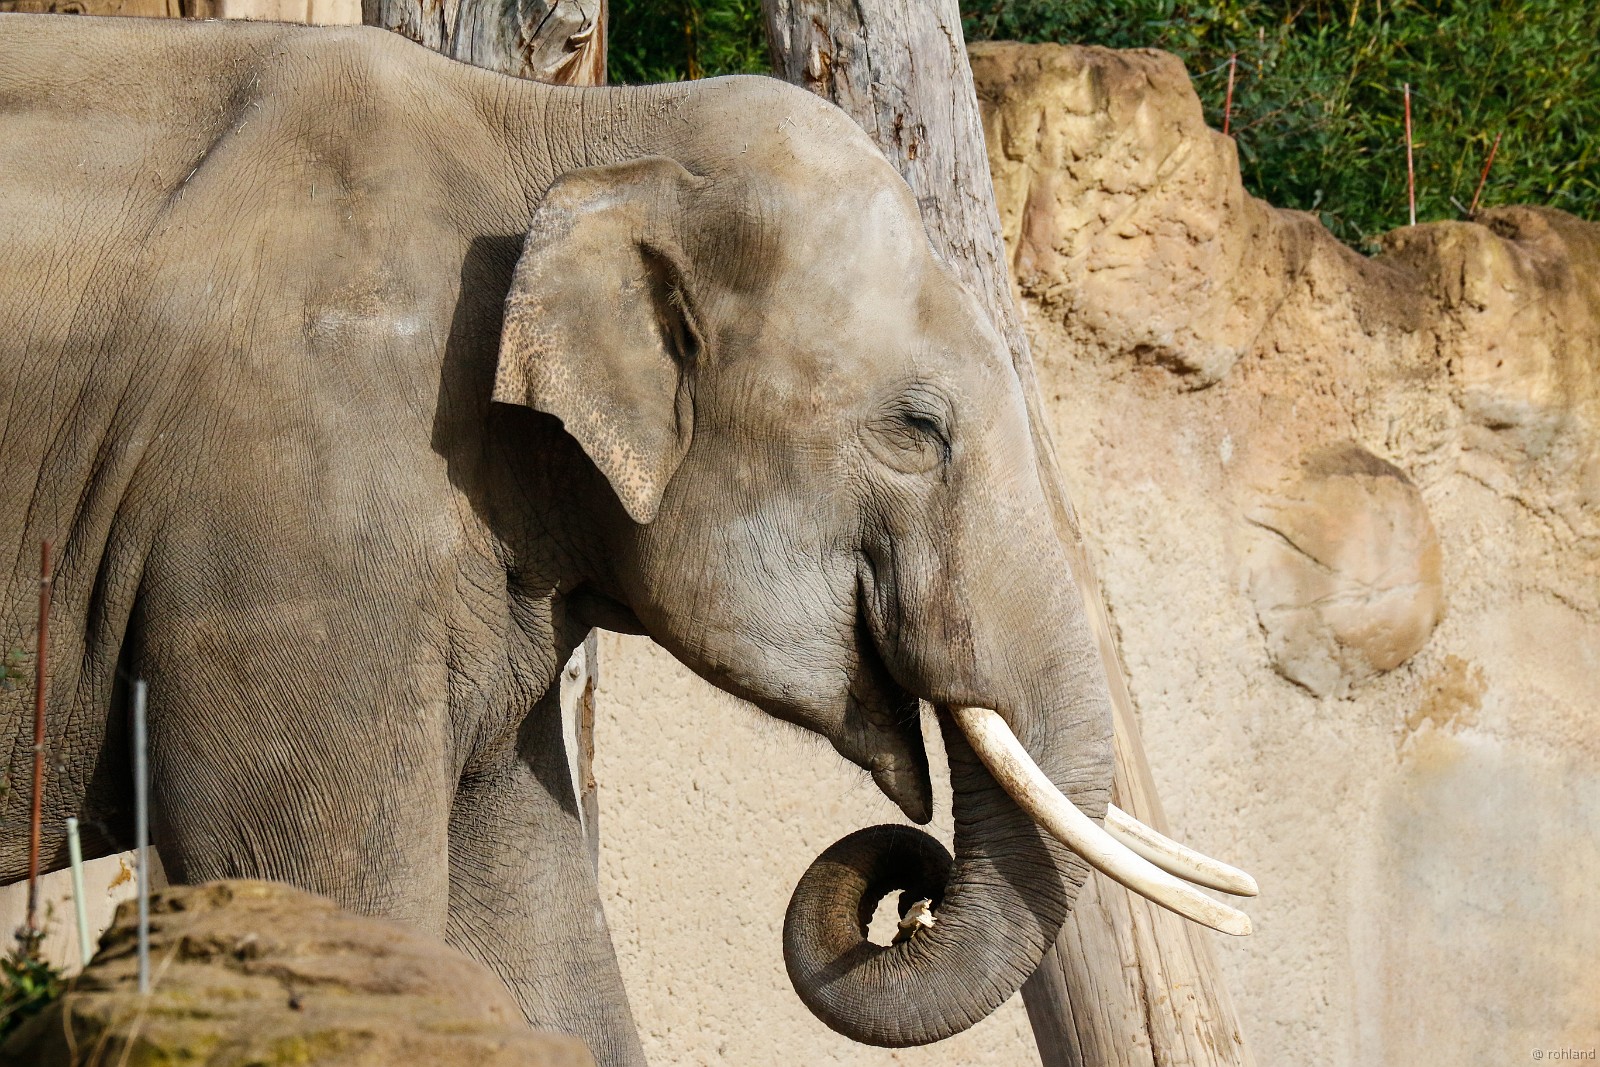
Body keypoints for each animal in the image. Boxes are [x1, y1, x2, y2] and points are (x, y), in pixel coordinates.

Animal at [0, 14, 1252, 1065]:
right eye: (917, 430)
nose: (909, 893)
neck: (573, 137)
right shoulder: (297, 494)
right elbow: (322, 895)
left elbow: (535, 931)